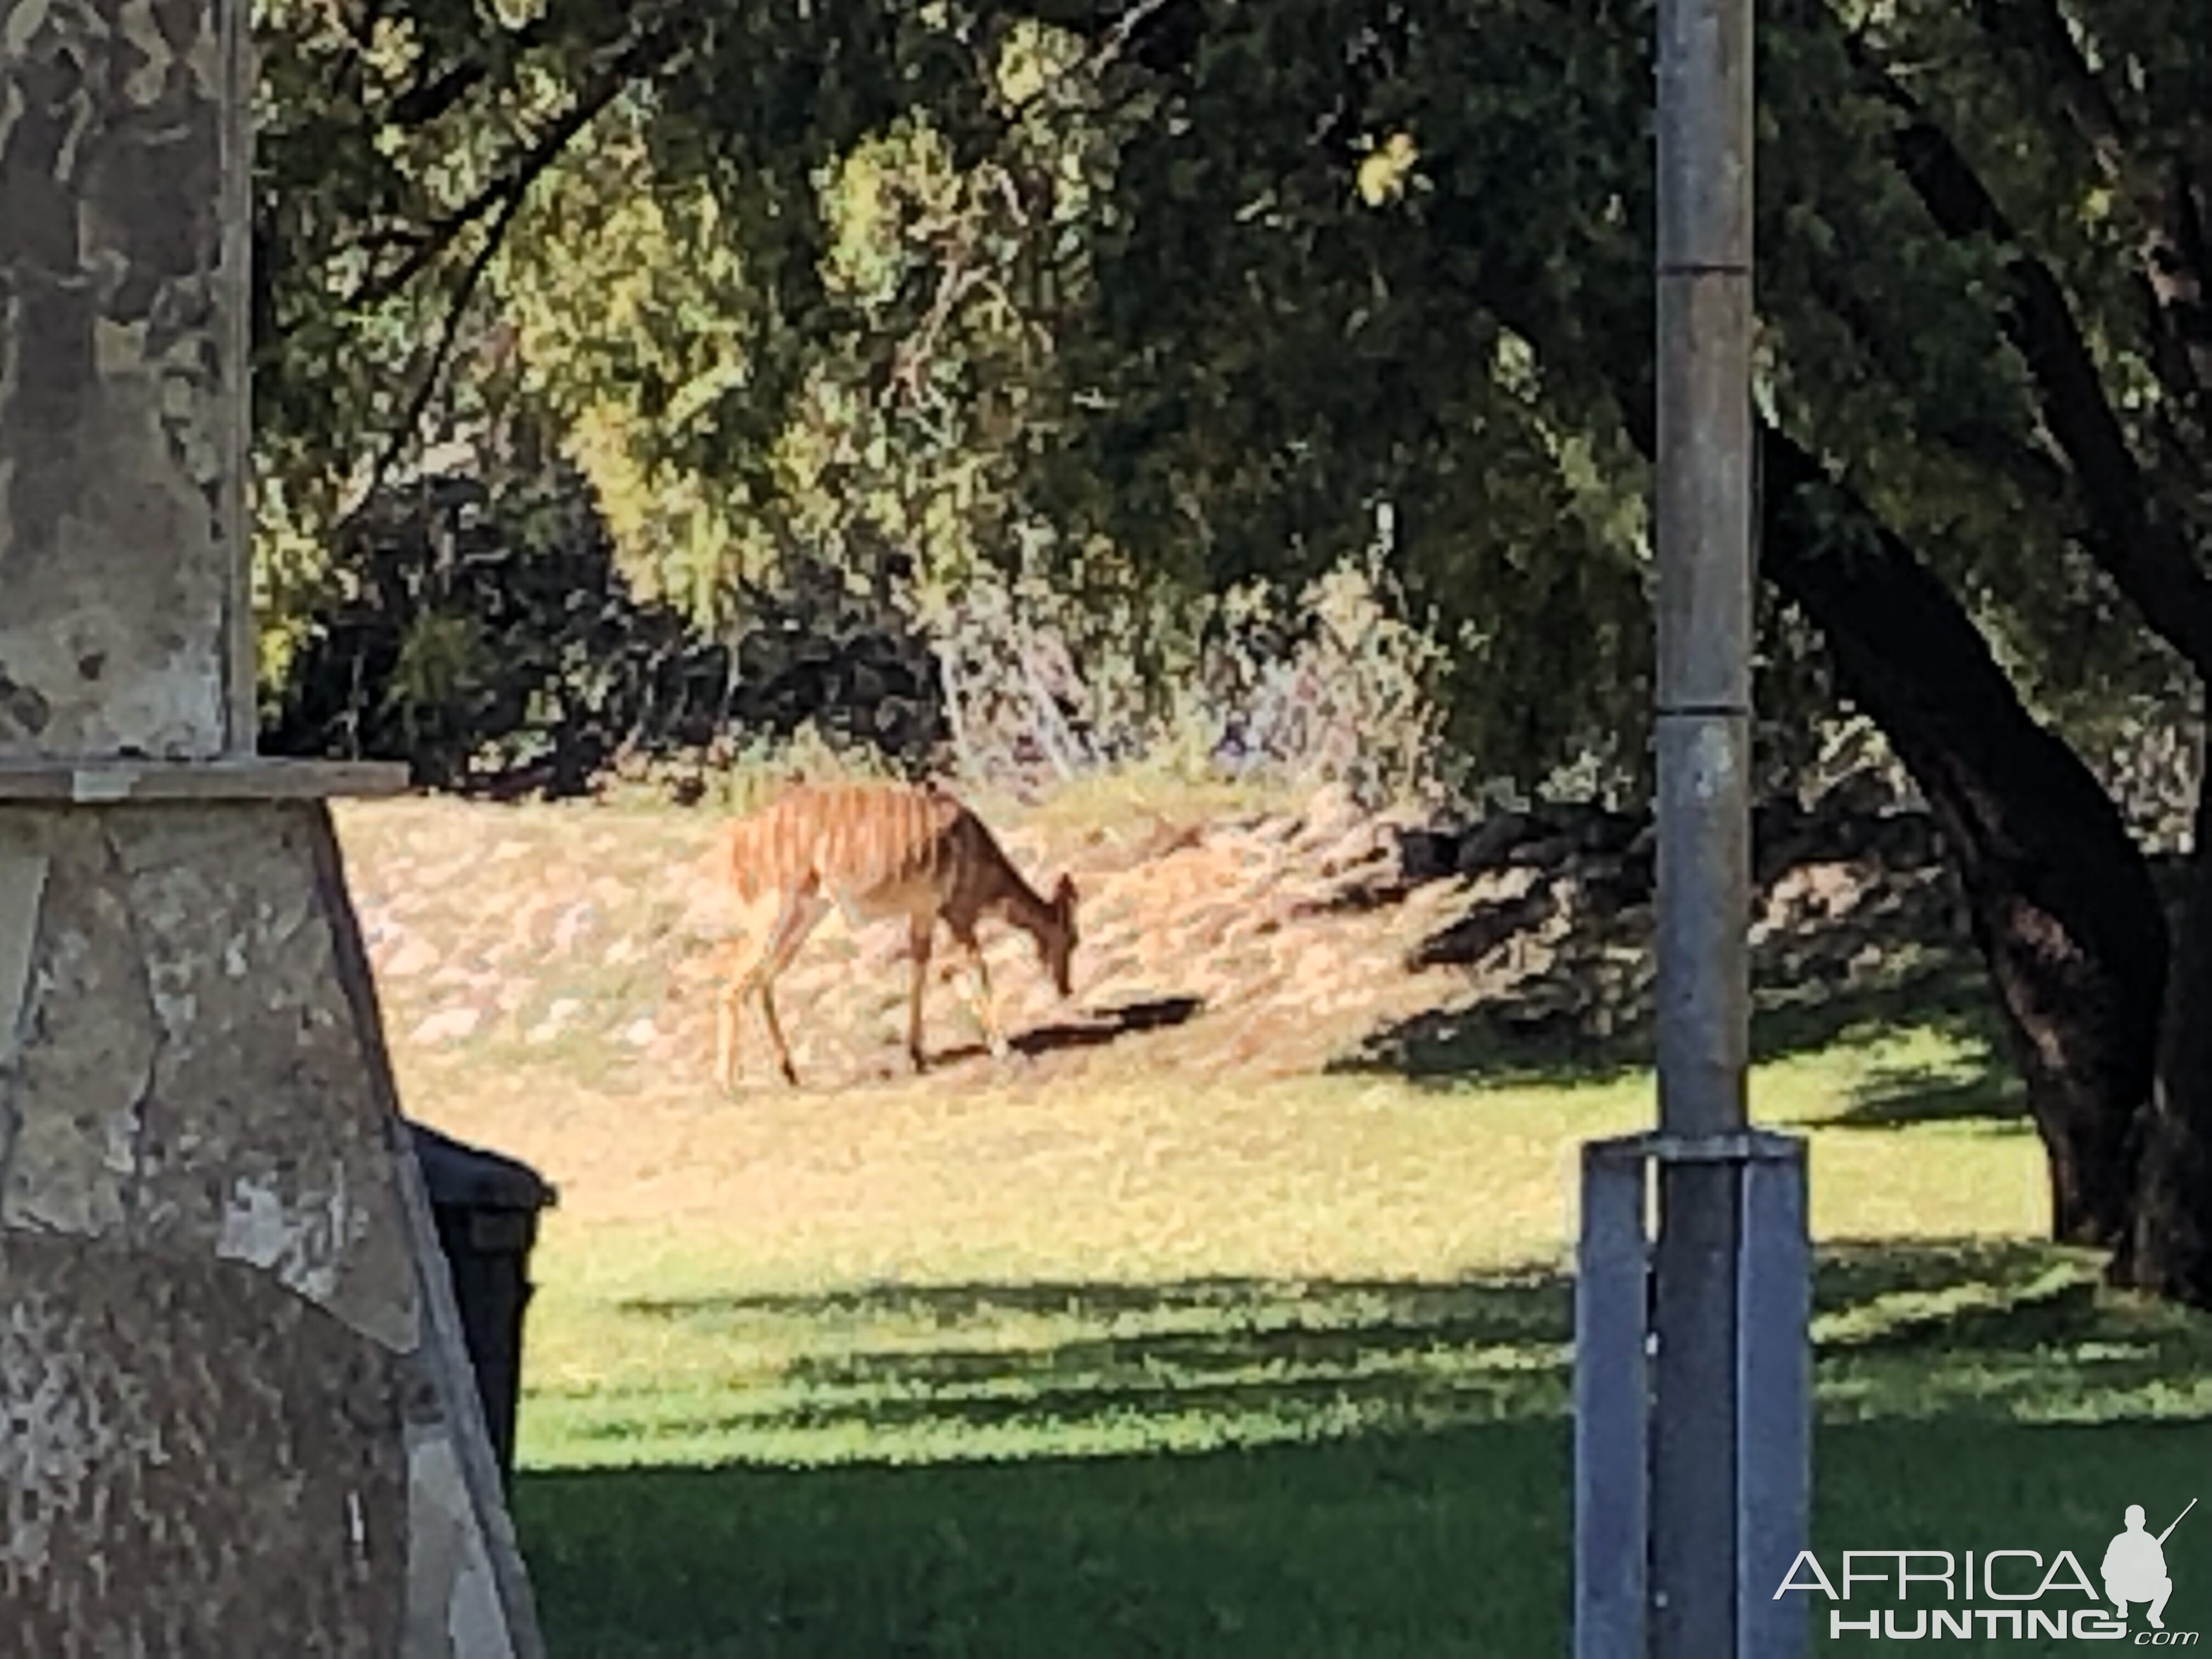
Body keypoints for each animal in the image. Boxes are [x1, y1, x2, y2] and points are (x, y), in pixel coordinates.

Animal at [708, 778, 1079, 1092]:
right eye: (1073, 938)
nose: (1066, 988)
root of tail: (737, 841)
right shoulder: (959, 914)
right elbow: (976, 969)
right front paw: (1004, 1048)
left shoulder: (924, 912)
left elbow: (921, 966)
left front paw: (918, 1055)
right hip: (775, 913)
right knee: (733, 984)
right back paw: (729, 1084)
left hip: (805, 916)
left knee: (763, 981)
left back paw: (789, 1072)